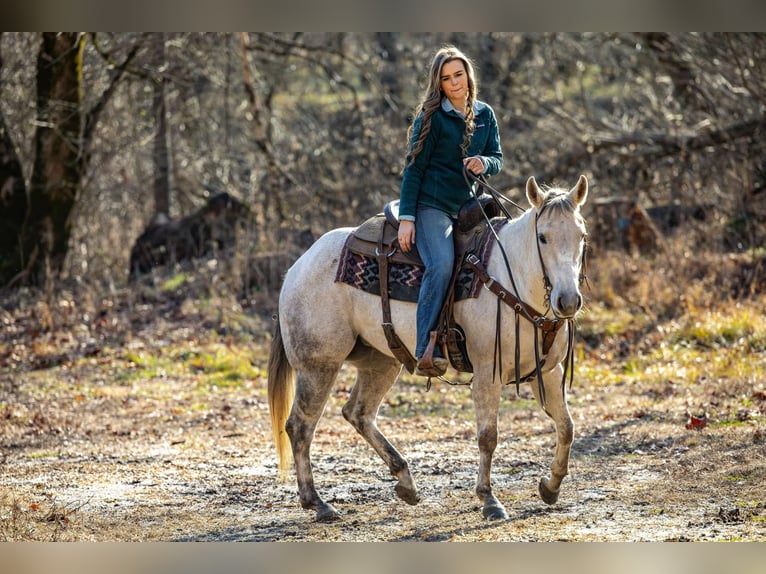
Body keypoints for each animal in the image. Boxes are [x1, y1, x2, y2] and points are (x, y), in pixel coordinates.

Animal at [268, 175, 589, 522]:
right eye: (543, 237)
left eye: (582, 235)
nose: (567, 301)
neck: (510, 277)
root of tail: (296, 268)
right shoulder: (488, 374)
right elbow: (488, 437)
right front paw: (489, 500)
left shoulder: (550, 372)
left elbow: (567, 427)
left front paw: (551, 486)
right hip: (319, 366)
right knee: (300, 426)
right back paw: (318, 502)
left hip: (381, 362)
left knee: (358, 413)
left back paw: (405, 481)